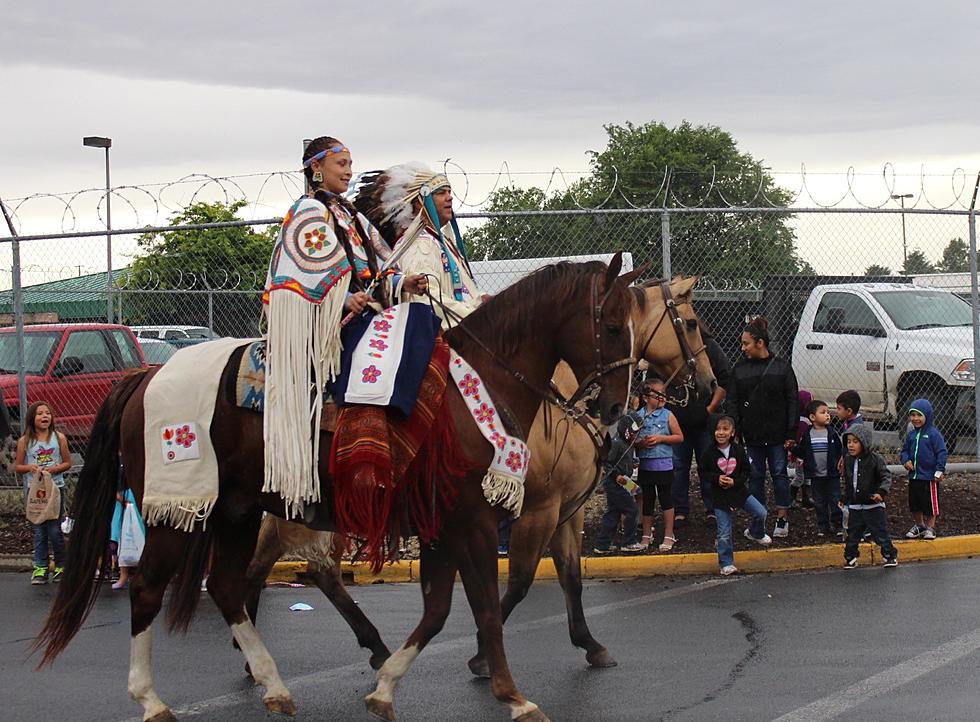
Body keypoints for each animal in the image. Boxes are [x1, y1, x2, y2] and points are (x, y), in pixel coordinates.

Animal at [34, 255, 640, 720]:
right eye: (612, 325)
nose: (617, 409)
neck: (474, 390)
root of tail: (144, 378)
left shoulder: (446, 523)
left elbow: (440, 610)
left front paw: (387, 686)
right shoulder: (475, 520)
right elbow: (488, 606)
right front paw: (512, 696)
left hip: (237, 511)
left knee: (229, 586)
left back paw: (274, 683)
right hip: (177, 509)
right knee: (147, 589)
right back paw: (153, 699)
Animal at [241, 274, 708, 676]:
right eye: (690, 323)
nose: (706, 383)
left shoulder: (567, 511)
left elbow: (571, 579)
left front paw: (590, 644)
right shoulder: (536, 510)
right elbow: (518, 582)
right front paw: (484, 654)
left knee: (272, 565)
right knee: (305, 568)